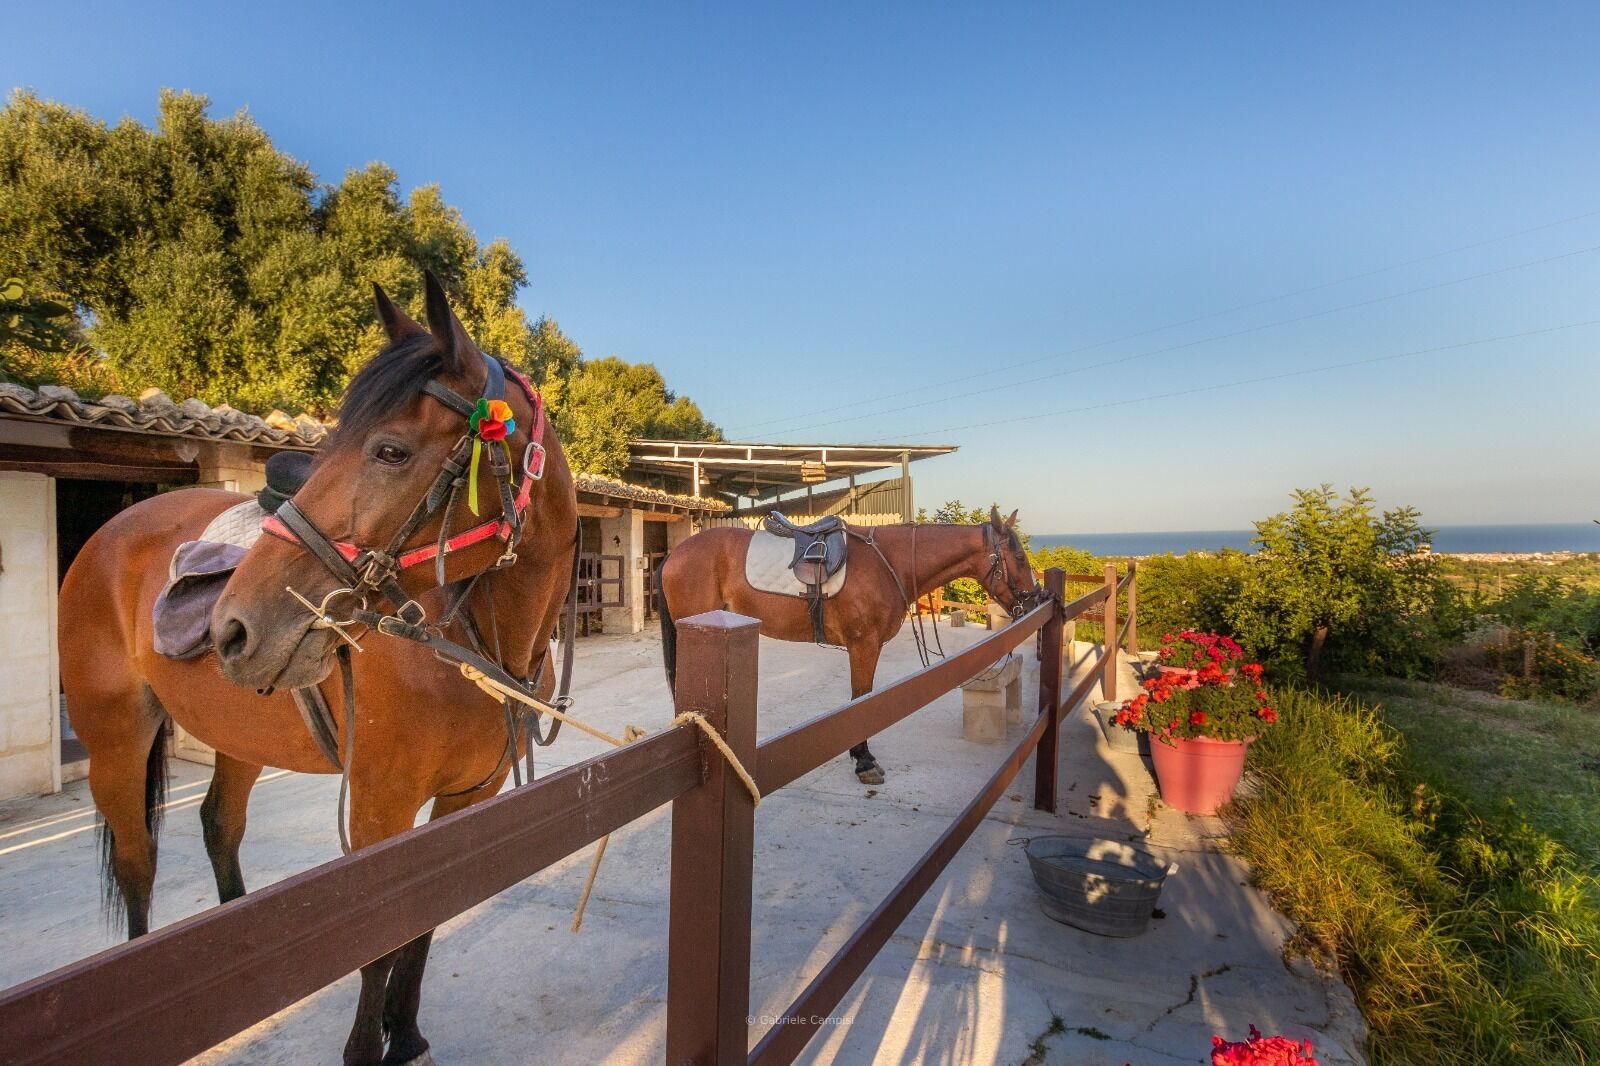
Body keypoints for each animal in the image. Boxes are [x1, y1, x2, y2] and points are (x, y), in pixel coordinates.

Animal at [57, 274, 578, 1066]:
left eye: (391, 450)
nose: (233, 626)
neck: (470, 641)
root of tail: (108, 533)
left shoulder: (469, 796)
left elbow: (425, 921)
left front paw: (407, 1034)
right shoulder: (379, 806)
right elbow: (380, 941)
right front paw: (371, 1046)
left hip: (236, 738)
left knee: (218, 825)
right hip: (117, 742)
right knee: (137, 863)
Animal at [656, 507, 1038, 784]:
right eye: (1019, 558)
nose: (1035, 599)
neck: (889, 561)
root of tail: (674, 556)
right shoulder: (864, 644)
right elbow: (860, 697)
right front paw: (863, 760)